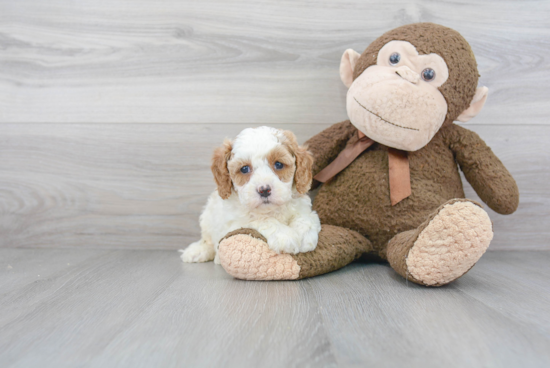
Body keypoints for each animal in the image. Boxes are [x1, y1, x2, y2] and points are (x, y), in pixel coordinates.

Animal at [181, 127, 322, 264]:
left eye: (278, 164)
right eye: (244, 169)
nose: (264, 190)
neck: (271, 210)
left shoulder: (302, 205)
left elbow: (306, 217)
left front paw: (305, 236)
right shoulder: (233, 225)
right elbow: (259, 219)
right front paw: (285, 236)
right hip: (207, 219)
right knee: (208, 241)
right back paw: (197, 252)